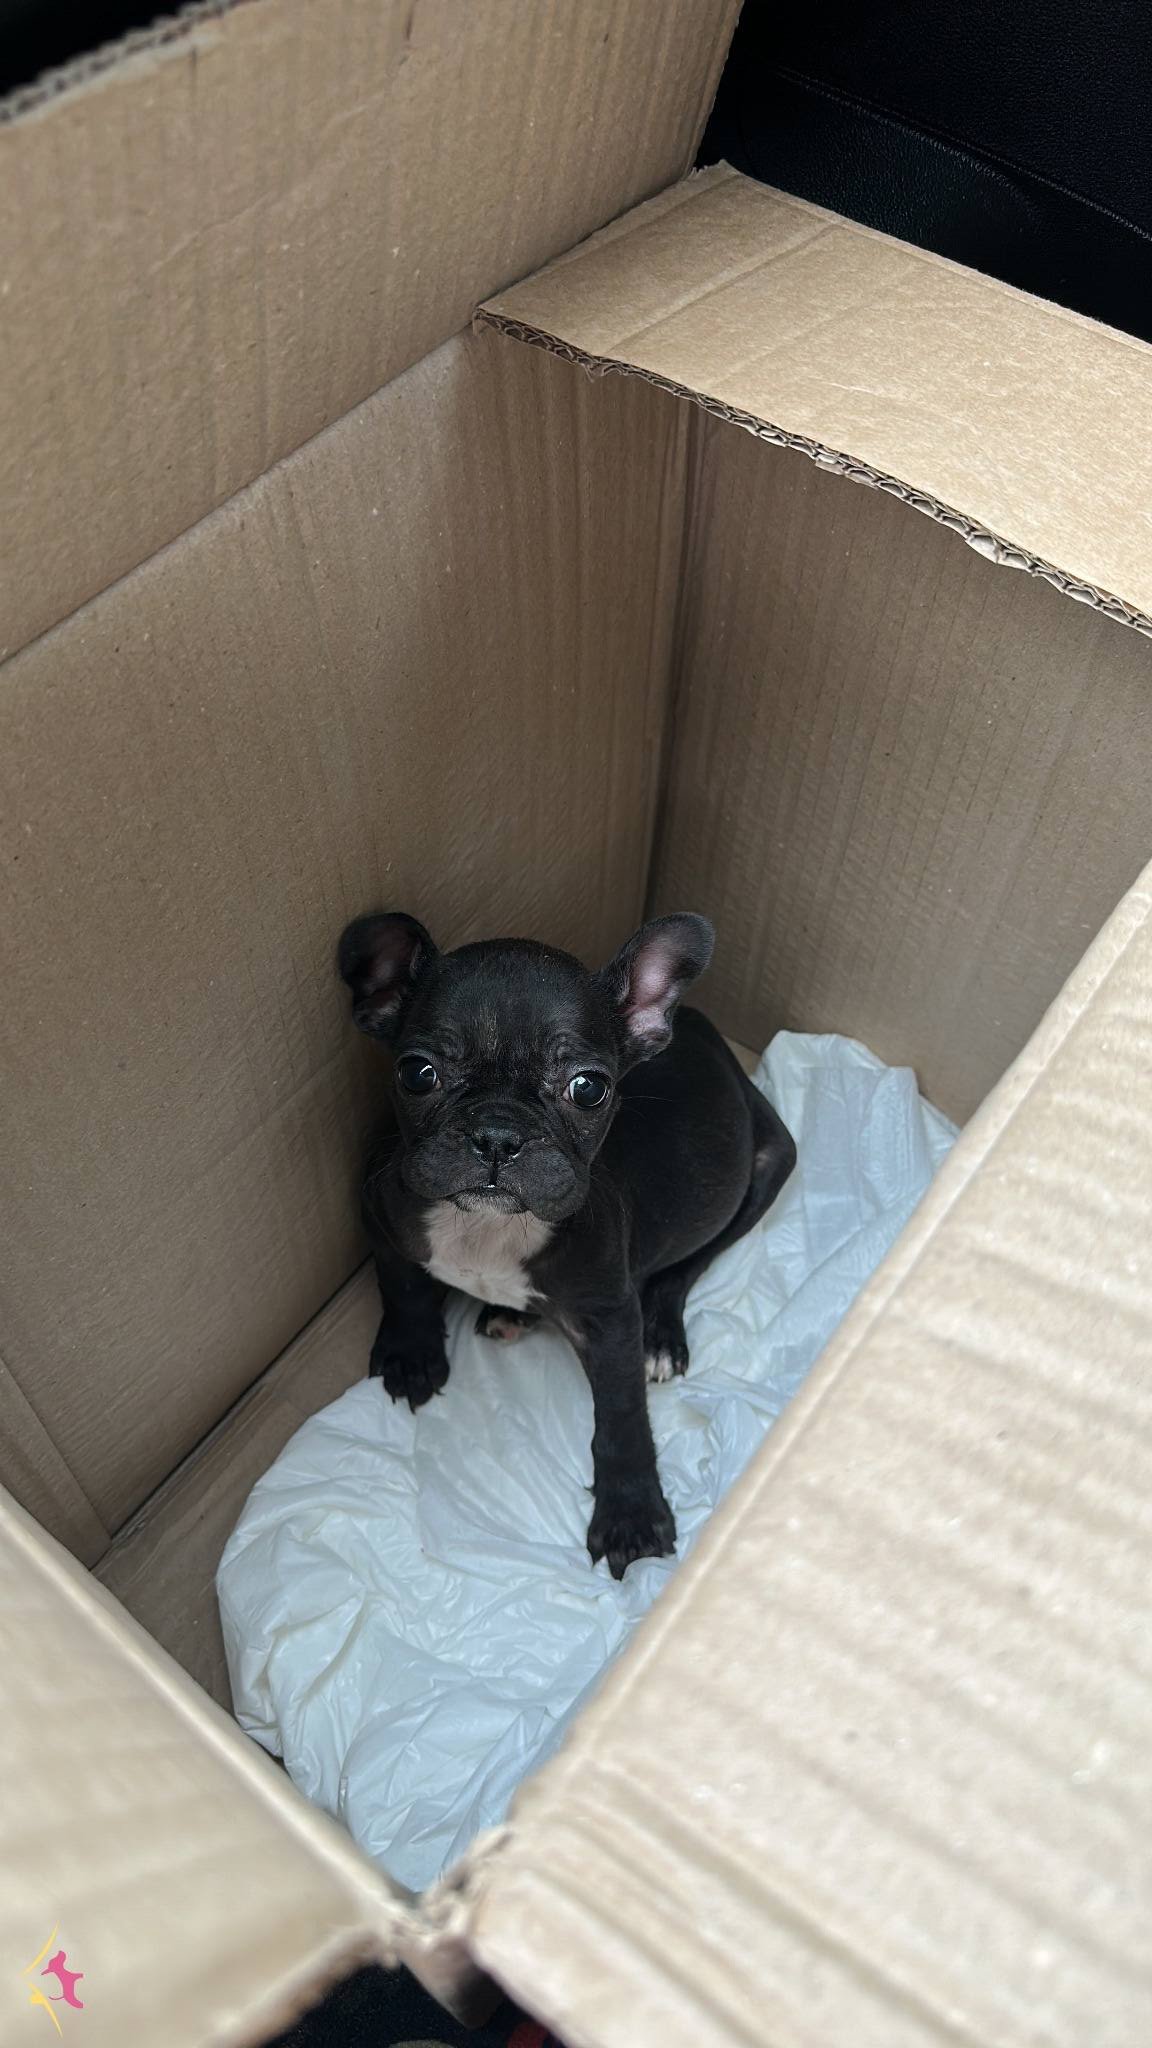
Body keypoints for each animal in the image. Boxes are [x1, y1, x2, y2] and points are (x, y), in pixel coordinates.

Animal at [338, 911, 796, 1578]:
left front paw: (631, 1513)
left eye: (588, 1088)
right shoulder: (382, 1218)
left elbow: (622, 1416)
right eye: (417, 1073)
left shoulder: (609, 1320)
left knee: (686, 1268)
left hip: (768, 1166)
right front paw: (411, 1354)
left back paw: (662, 1336)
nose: (498, 1134)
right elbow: (402, 1287)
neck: (489, 1229)